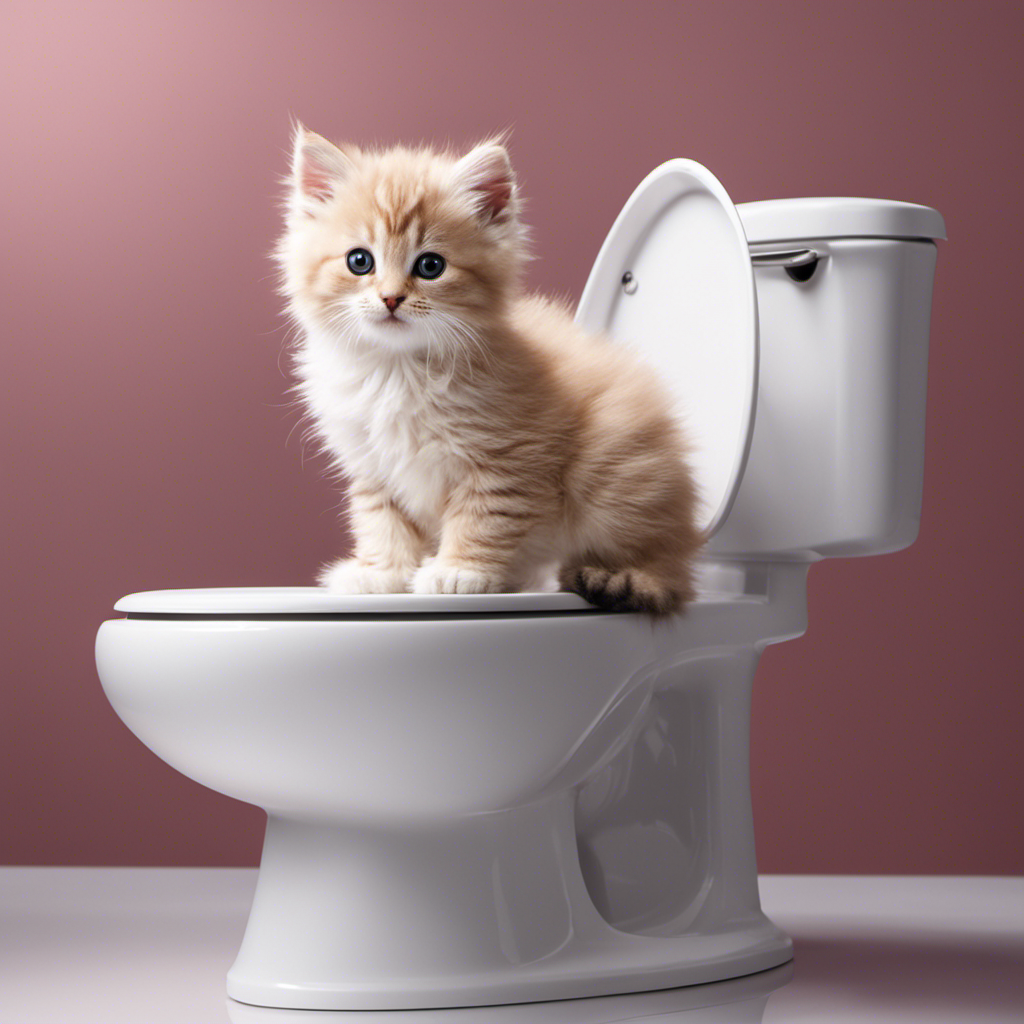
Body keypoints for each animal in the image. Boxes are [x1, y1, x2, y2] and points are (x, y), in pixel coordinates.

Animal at [276, 124, 700, 610]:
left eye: (431, 265)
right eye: (359, 261)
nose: (390, 298)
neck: (397, 371)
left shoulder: (505, 459)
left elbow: (483, 517)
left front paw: (460, 572)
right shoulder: (372, 466)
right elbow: (382, 521)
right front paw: (383, 573)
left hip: (614, 473)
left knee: (671, 575)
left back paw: (621, 577)